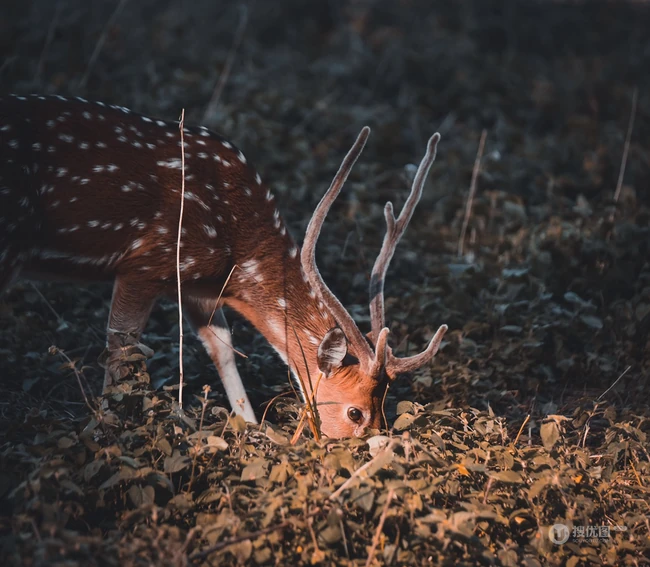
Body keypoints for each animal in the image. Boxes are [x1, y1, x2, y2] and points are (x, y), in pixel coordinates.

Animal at [0, 93, 448, 438]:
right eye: (355, 412)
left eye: (385, 410)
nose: (367, 453)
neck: (238, 248)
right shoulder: (146, 263)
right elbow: (121, 348)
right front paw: (111, 431)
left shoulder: (196, 285)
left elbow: (224, 349)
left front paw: (251, 429)